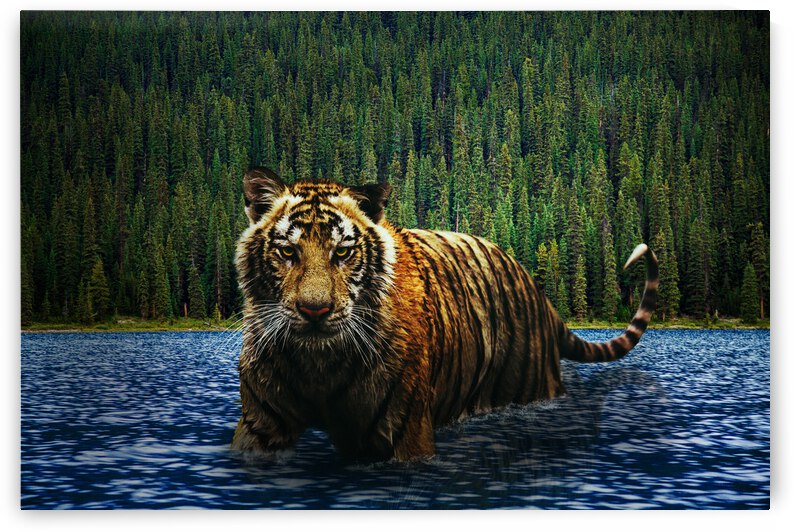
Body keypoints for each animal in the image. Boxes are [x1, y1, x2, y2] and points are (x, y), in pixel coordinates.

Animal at [231, 167, 658, 462]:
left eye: (343, 252)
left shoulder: (402, 433)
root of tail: (541, 297)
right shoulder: (260, 423)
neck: (317, 364)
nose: (314, 310)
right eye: (288, 251)